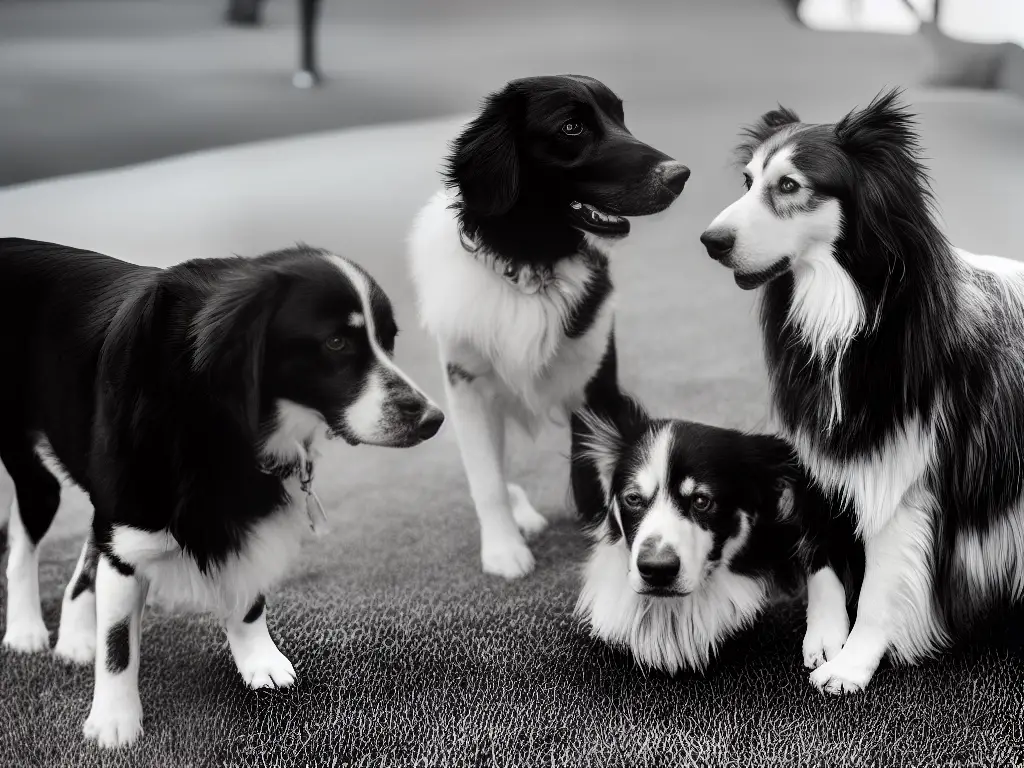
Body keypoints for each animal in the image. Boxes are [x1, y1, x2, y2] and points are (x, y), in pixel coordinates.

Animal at [0, 239, 442, 745]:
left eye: (388, 341)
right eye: (336, 343)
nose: (433, 419)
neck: (212, 409)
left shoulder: (250, 499)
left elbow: (248, 595)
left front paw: (258, 660)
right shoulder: (131, 519)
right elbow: (118, 645)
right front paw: (114, 721)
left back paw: (73, 633)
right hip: (40, 472)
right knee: (32, 523)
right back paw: (26, 630)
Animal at [407, 75, 688, 581]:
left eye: (620, 116)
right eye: (572, 127)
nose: (680, 175)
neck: (528, 264)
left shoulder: (595, 383)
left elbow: (590, 469)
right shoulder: (467, 387)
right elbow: (487, 480)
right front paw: (503, 550)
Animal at [700, 87, 1024, 696]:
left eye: (788, 186)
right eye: (747, 181)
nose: (710, 241)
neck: (847, 313)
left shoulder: (903, 478)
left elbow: (879, 587)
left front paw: (853, 664)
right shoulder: (823, 454)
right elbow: (823, 558)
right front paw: (826, 638)